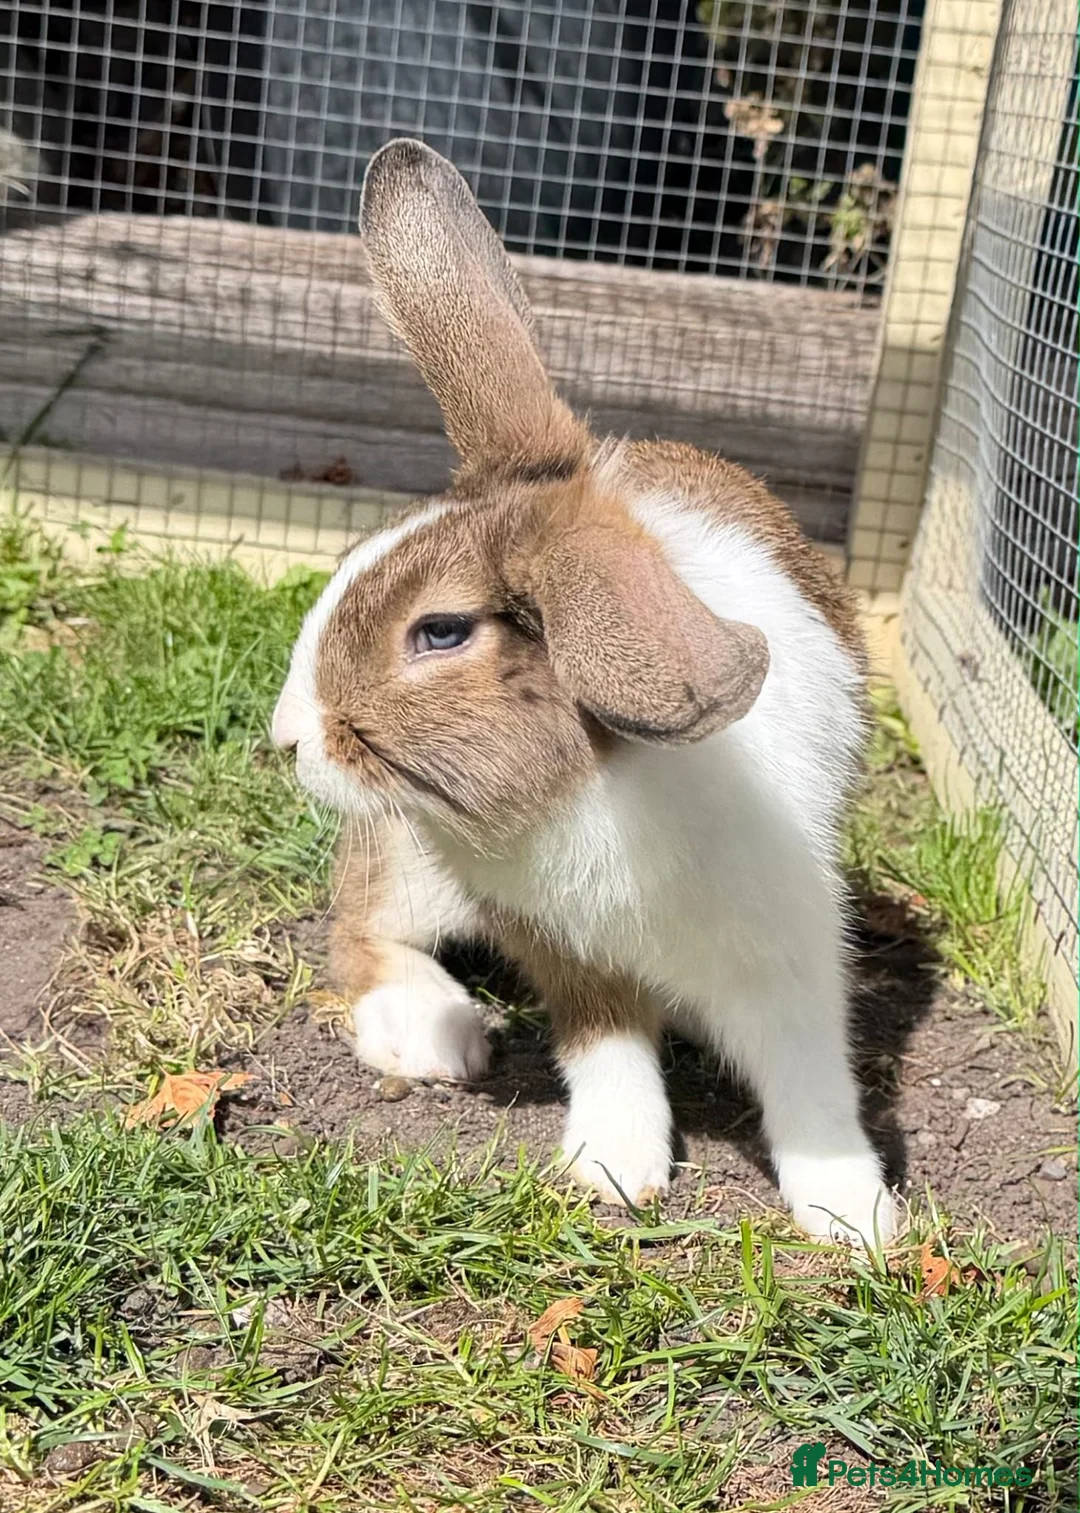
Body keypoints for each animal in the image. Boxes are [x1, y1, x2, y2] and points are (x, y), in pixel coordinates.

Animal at [272, 138, 896, 1247]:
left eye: (440, 631)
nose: (288, 737)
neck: (601, 781)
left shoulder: (791, 949)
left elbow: (812, 1081)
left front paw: (853, 1216)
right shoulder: (568, 951)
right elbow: (608, 1048)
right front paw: (613, 1168)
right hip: (409, 860)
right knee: (359, 927)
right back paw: (435, 1034)